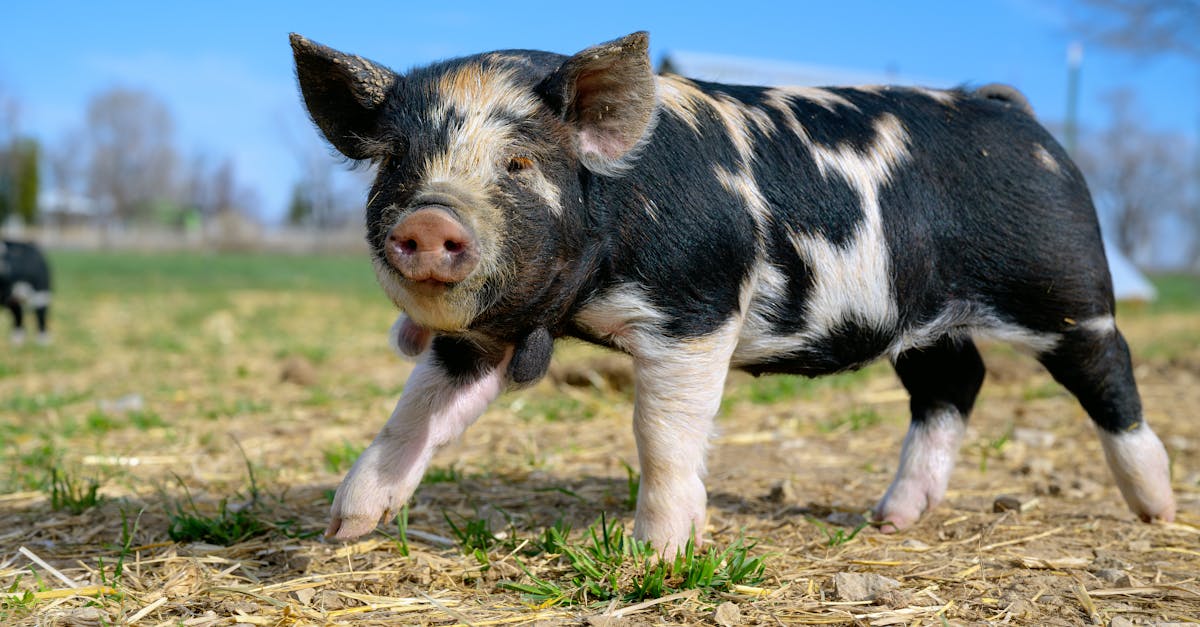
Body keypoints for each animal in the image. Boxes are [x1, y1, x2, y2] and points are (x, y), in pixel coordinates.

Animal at [290, 31, 1175, 553]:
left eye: (519, 162)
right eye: (397, 163)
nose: (430, 219)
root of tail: (1011, 111)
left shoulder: (697, 303)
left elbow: (660, 433)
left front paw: (653, 552)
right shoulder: (487, 331)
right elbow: (415, 410)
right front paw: (343, 525)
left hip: (1062, 289)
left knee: (1109, 373)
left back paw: (1157, 507)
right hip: (921, 317)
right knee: (955, 380)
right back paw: (890, 517)